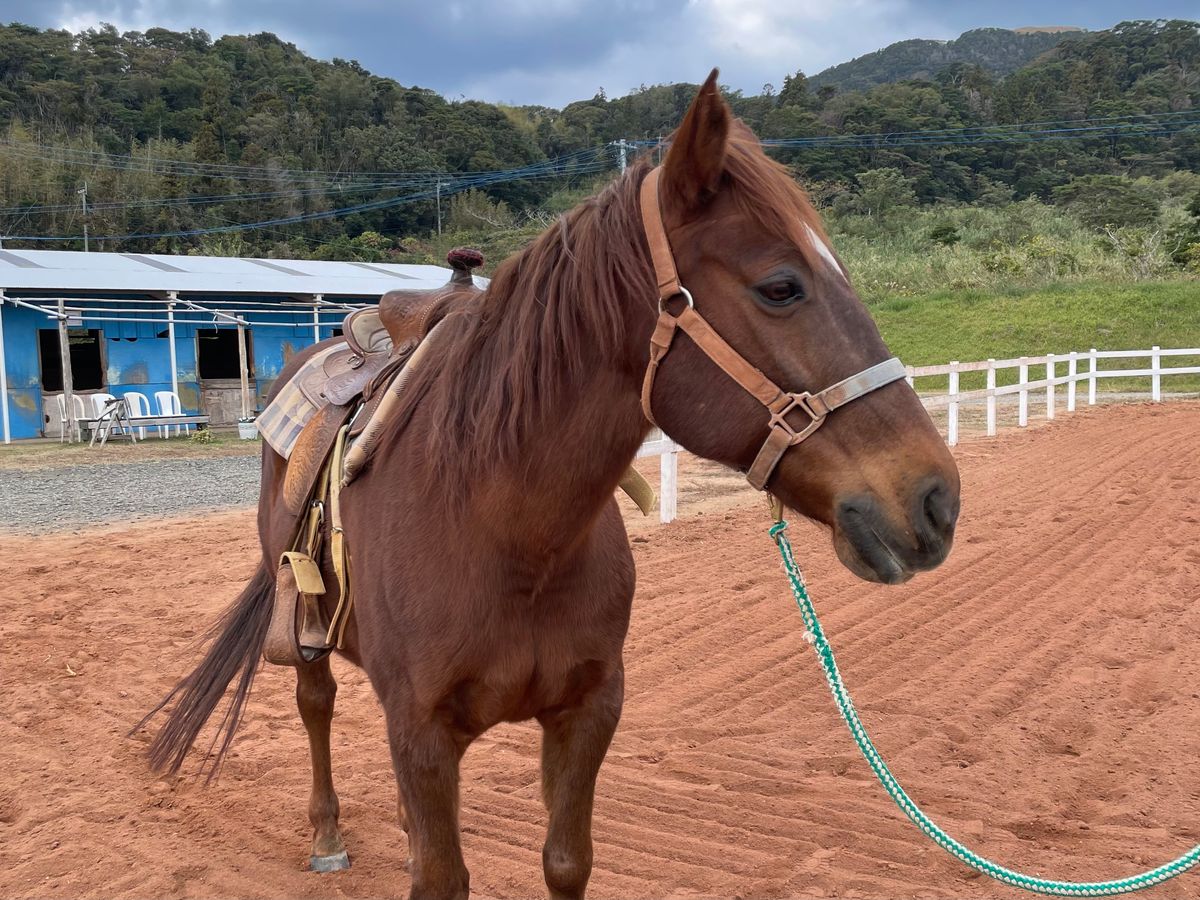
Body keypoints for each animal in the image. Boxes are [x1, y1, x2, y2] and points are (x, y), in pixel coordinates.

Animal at [141, 70, 961, 900]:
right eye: (782, 287)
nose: (936, 498)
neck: (506, 531)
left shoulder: (588, 712)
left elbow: (565, 863)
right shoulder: (421, 731)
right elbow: (441, 874)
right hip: (305, 629)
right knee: (316, 705)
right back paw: (328, 835)